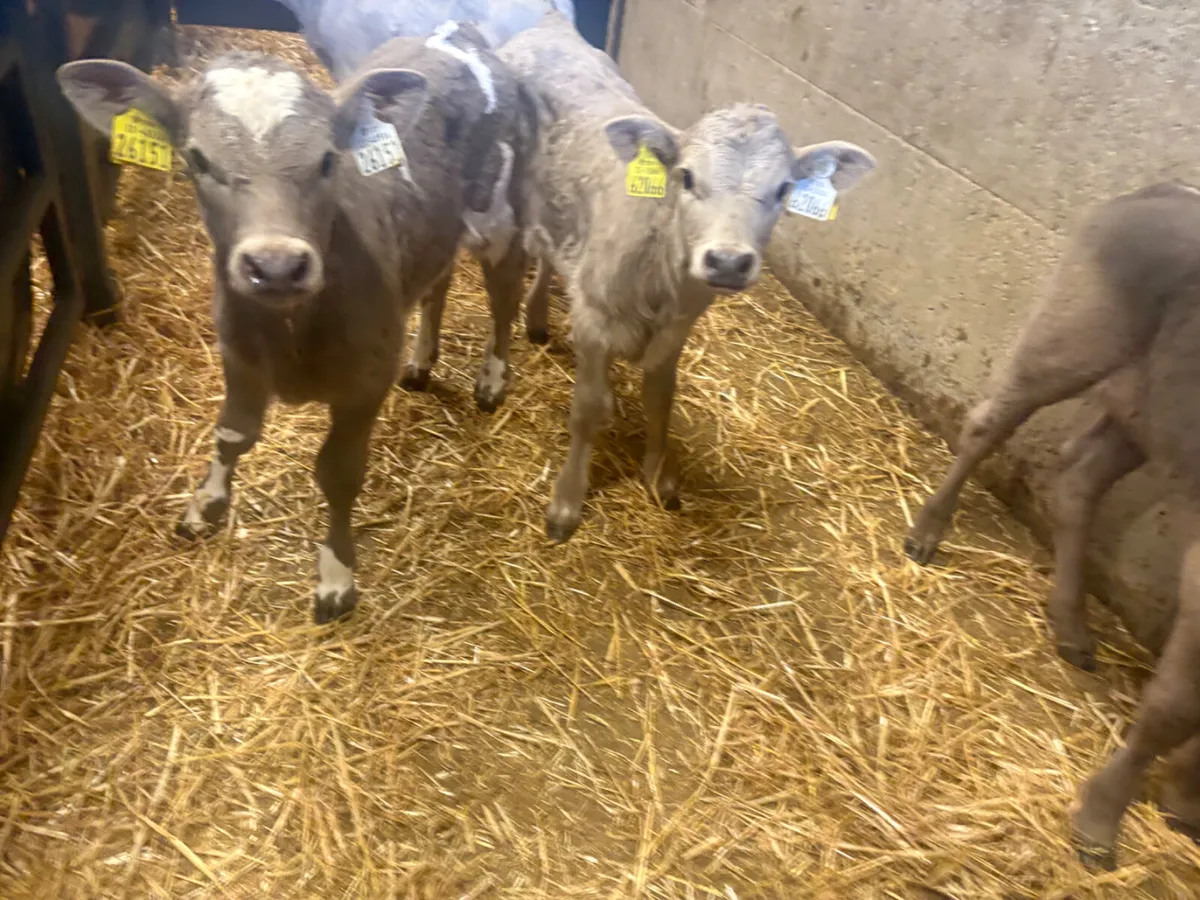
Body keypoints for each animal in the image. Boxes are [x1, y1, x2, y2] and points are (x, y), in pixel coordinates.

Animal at [57, 23, 537, 623]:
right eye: (197, 160)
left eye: (329, 159)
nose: (277, 266)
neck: (290, 334)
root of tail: (458, 34)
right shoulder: (238, 353)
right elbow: (233, 434)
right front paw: (205, 505)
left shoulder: (365, 381)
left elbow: (339, 471)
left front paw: (336, 575)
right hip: (435, 229)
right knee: (438, 280)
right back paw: (422, 360)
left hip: (499, 211)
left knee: (505, 289)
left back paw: (493, 376)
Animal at [902, 182, 1200, 868]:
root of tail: (1164, 190)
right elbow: (1174, 705)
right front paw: (1101, 819)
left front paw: (1184, 798)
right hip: (1069, 338)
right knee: (989, 422)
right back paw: (928, 530)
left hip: (1140, 410)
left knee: (1079, 477)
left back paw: (1071, 625)